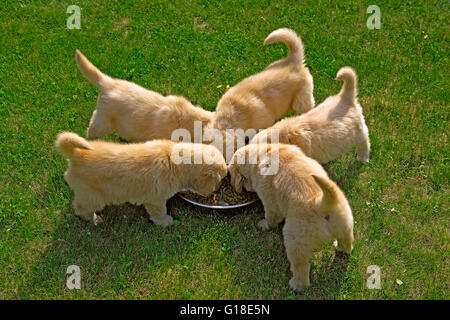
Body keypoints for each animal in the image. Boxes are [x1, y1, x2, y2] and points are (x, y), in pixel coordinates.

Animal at [230, 144, 354, 292]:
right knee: (346, 243)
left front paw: (264, 225)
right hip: (345, 223)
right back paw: (341, 248)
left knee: (301, 267)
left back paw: (296, 285)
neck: (263, 153)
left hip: (295, 239)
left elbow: (271, 217)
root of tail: (321, 203)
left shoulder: (270, 203)